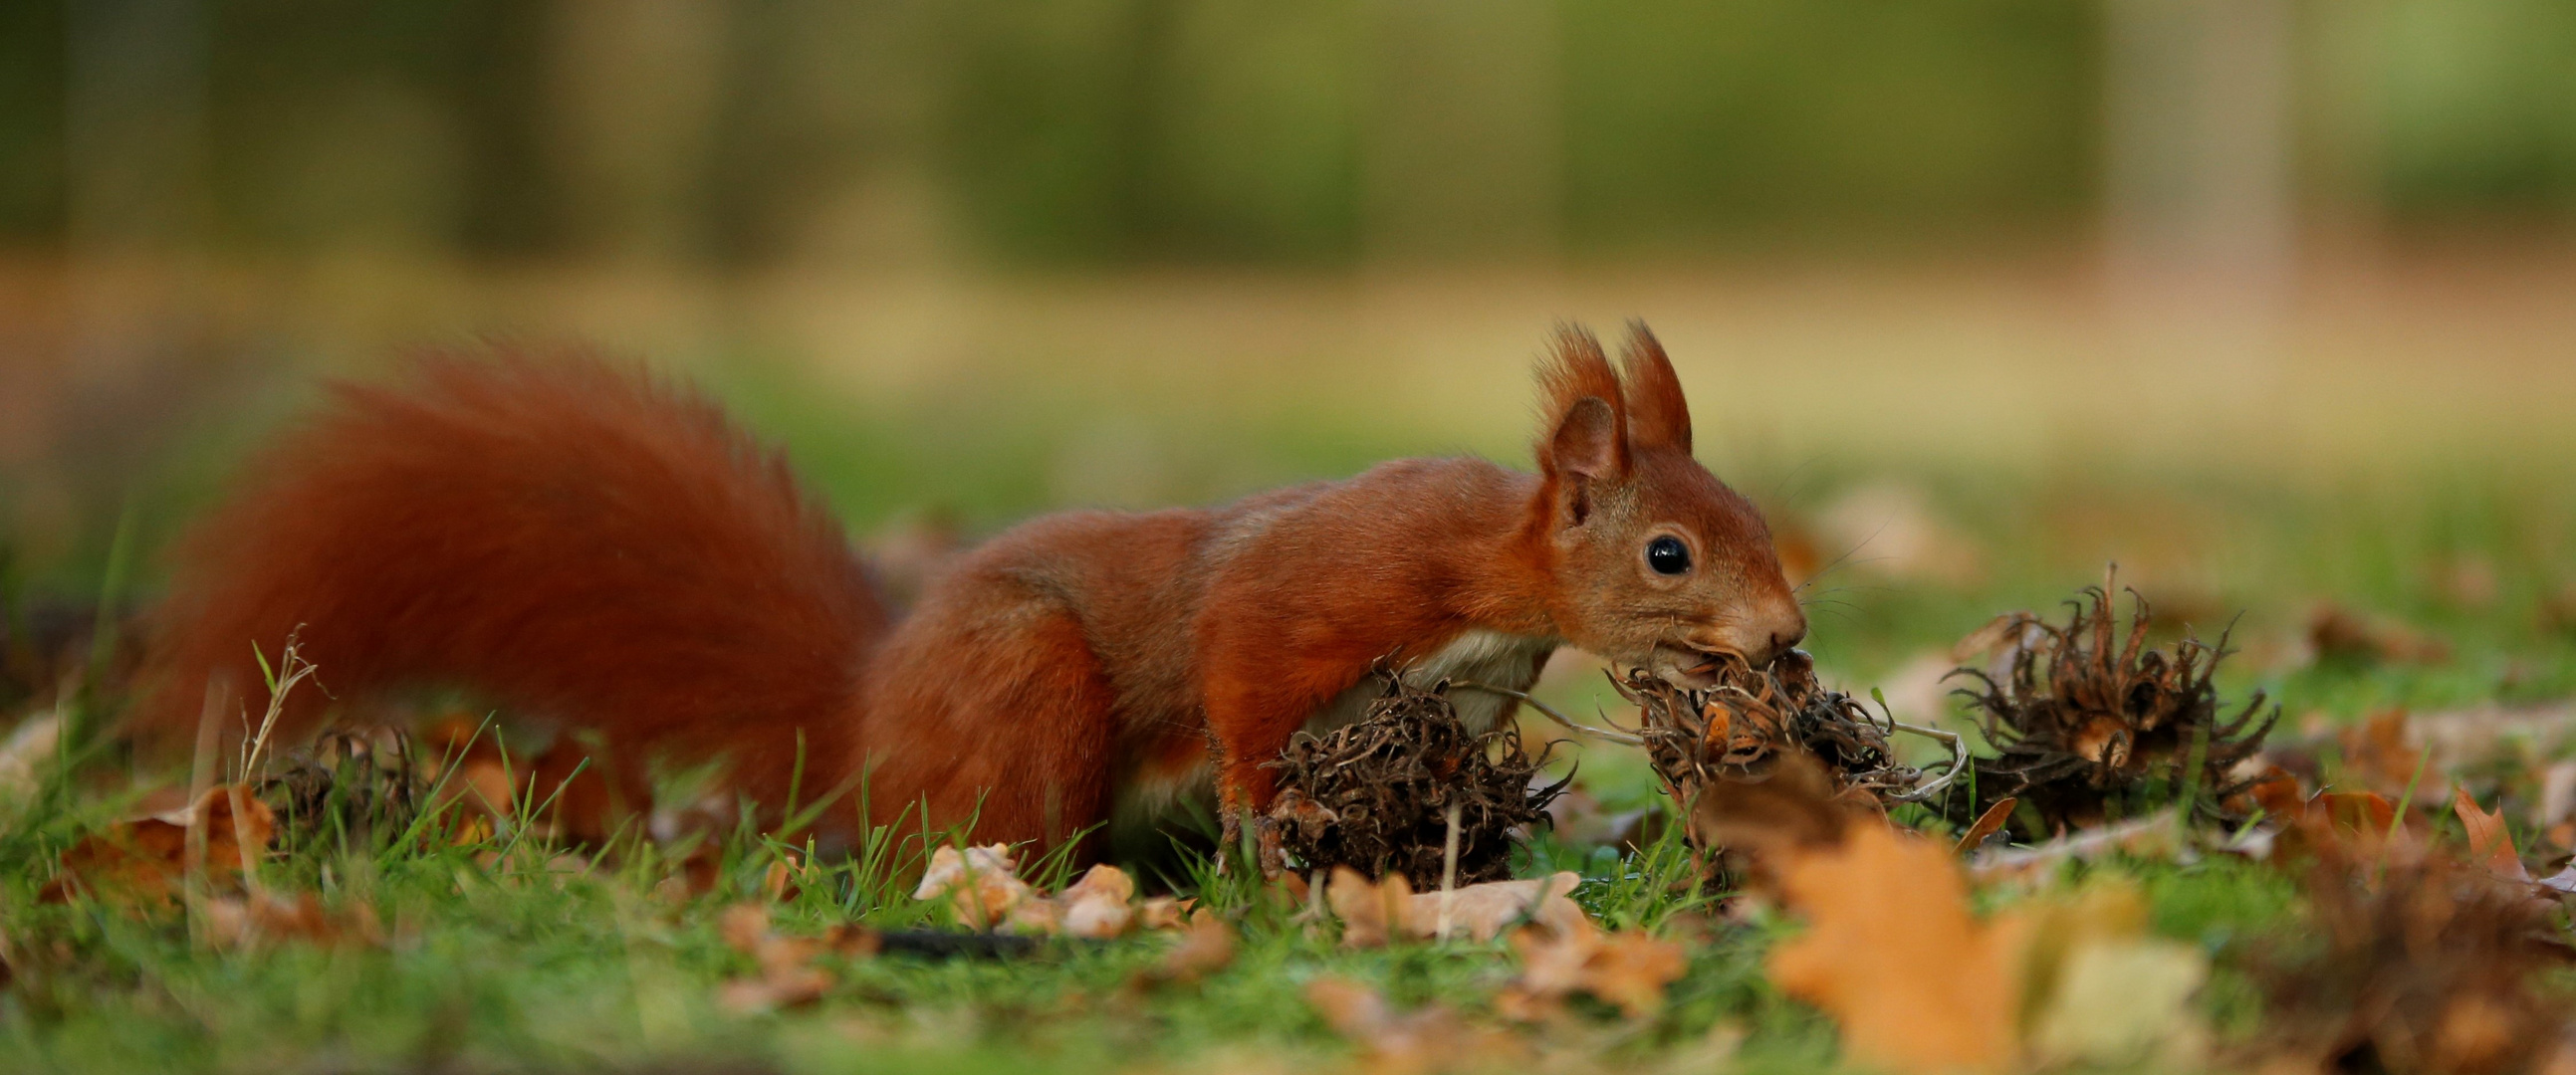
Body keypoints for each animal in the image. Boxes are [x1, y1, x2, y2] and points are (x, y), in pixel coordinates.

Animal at [130, 322, 1802, 861]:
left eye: (1751, 516)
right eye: (1667, 553)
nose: (1786, 637)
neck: (1496, 584)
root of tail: (859, 727)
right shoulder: (1334, 583)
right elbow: (1242, 658)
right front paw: (1274, 816)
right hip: (1024, 689)